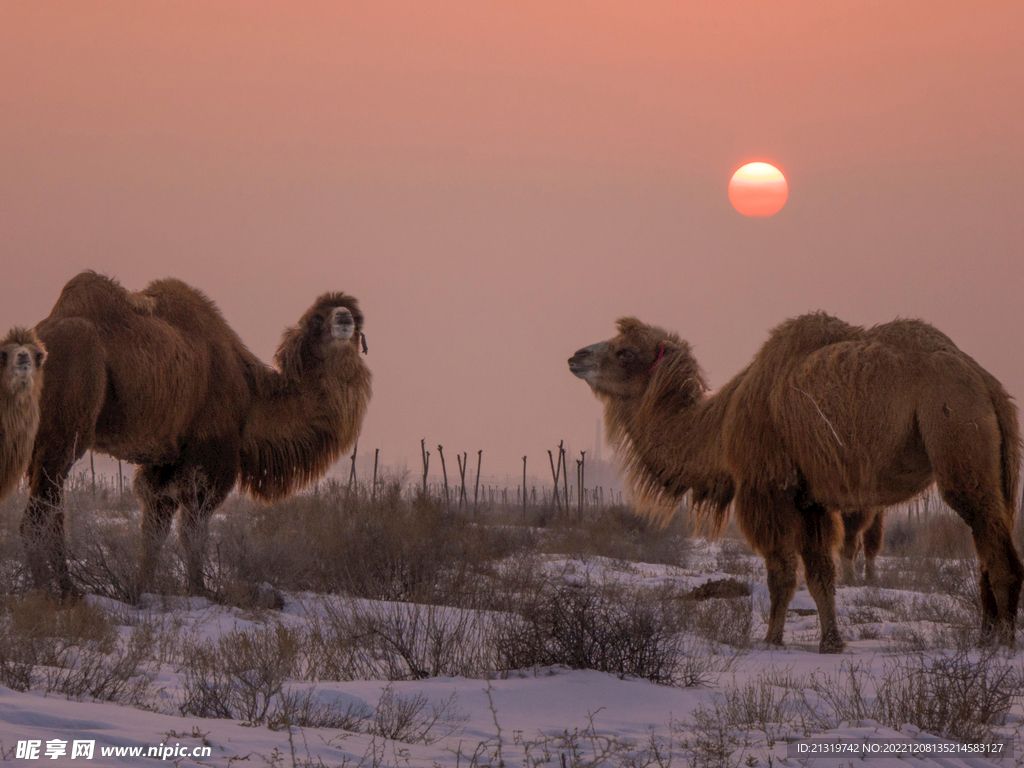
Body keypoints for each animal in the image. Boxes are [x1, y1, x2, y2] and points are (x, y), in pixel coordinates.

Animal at [17, 274, 372, 598]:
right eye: (316, 319)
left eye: (358, 317)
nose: (344, 318)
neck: (251, 396)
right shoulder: (210, 454)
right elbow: (194, 530)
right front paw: (200, 591)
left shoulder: (165, 459)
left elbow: (154, 529)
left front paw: (139, 590)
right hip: (64, 429)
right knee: (38, 514)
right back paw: (51, 591)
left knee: (51, 506)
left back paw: (63, 587)